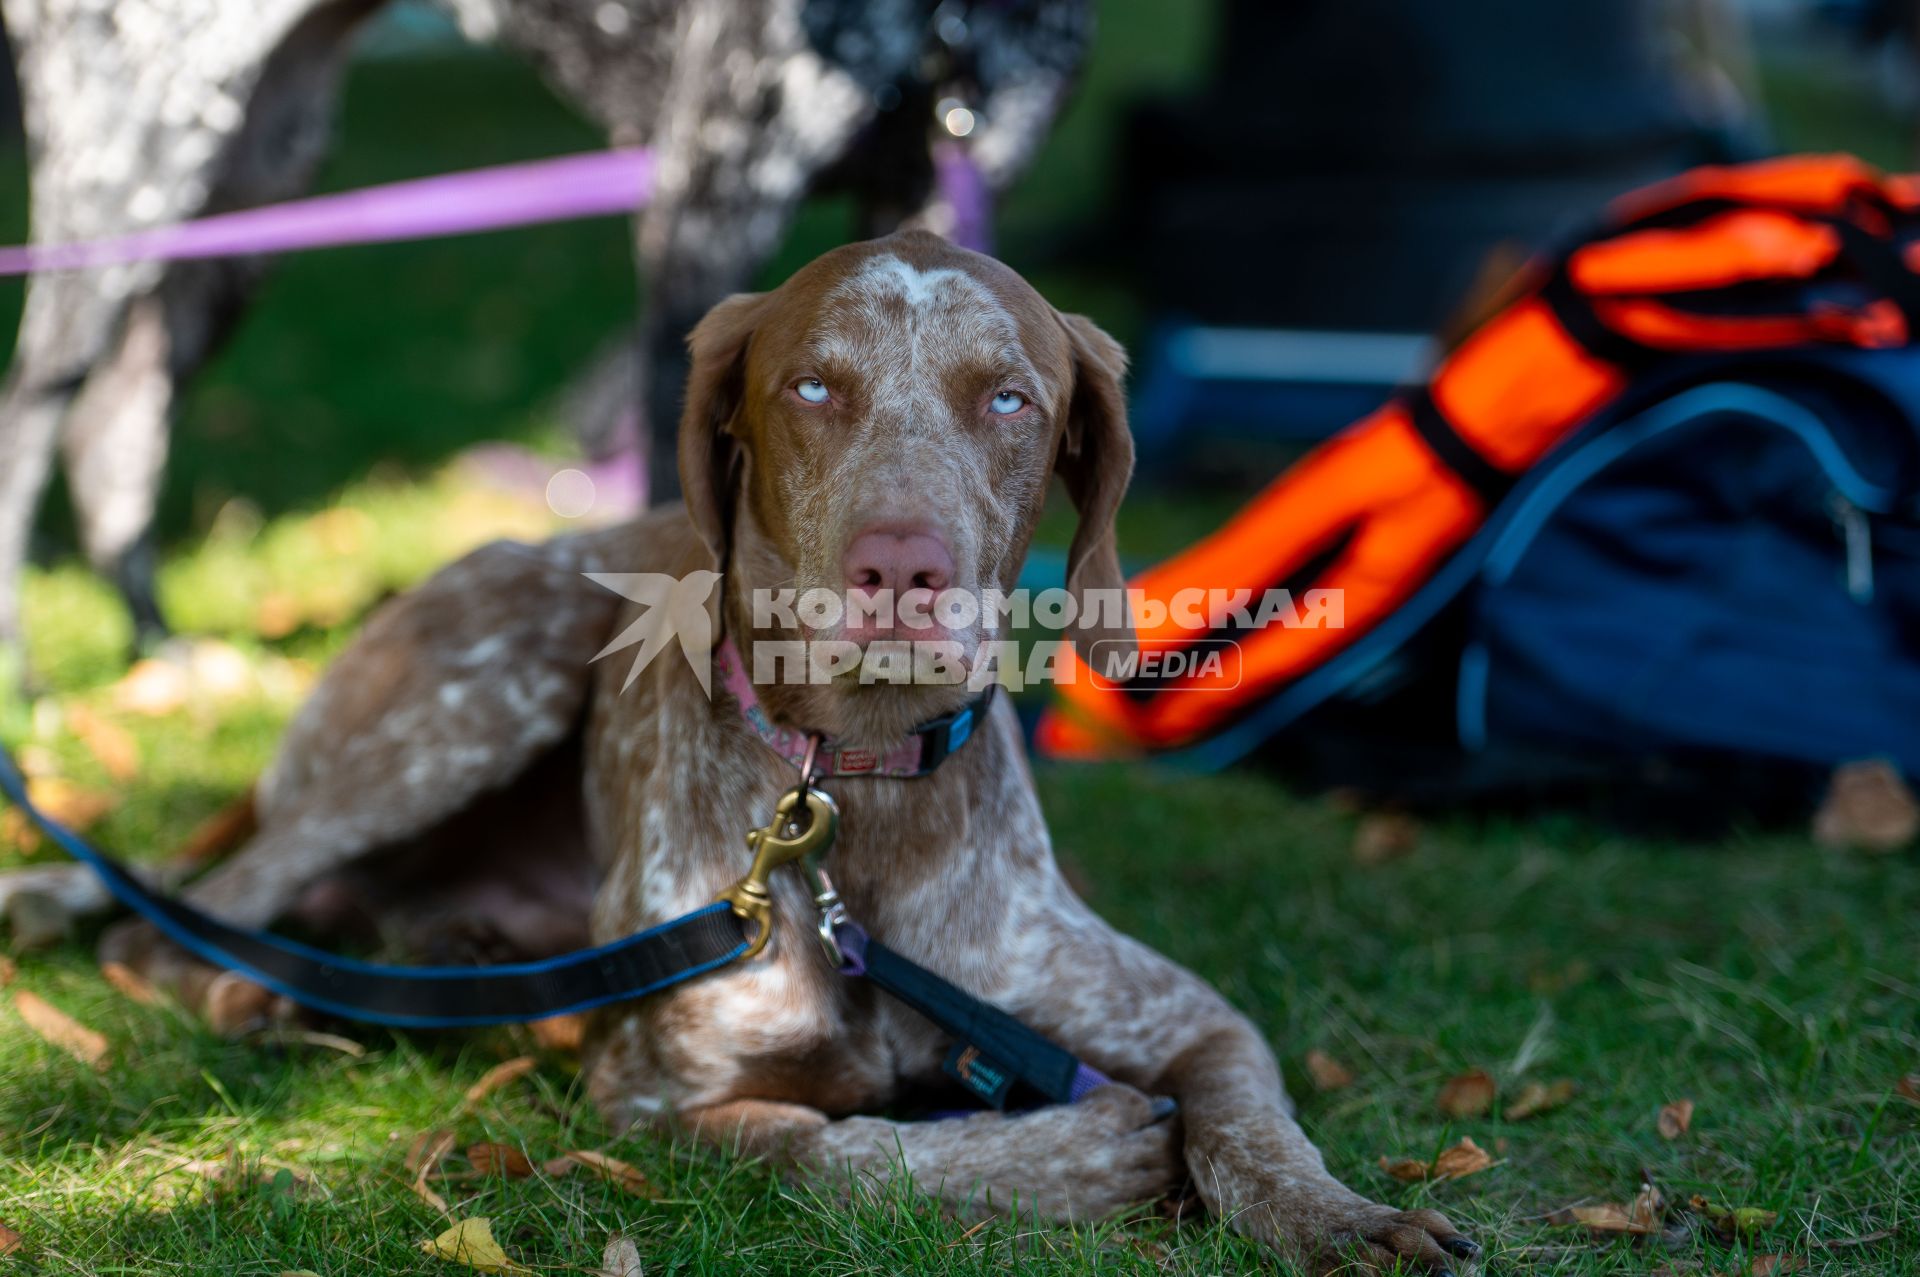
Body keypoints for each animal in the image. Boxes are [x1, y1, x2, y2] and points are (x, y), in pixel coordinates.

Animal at [93, 231, 1482, 1275]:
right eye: (812, 386)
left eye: (1010, 397)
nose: (901, 566)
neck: (848, 794)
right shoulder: (656, 1101)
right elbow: (831, 1145)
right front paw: (1069, 1154)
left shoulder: (1193, 1014)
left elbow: (1254, 1126)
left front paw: (1345, 1216)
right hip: (484, 679)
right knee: (175, 925)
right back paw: (264, 994)